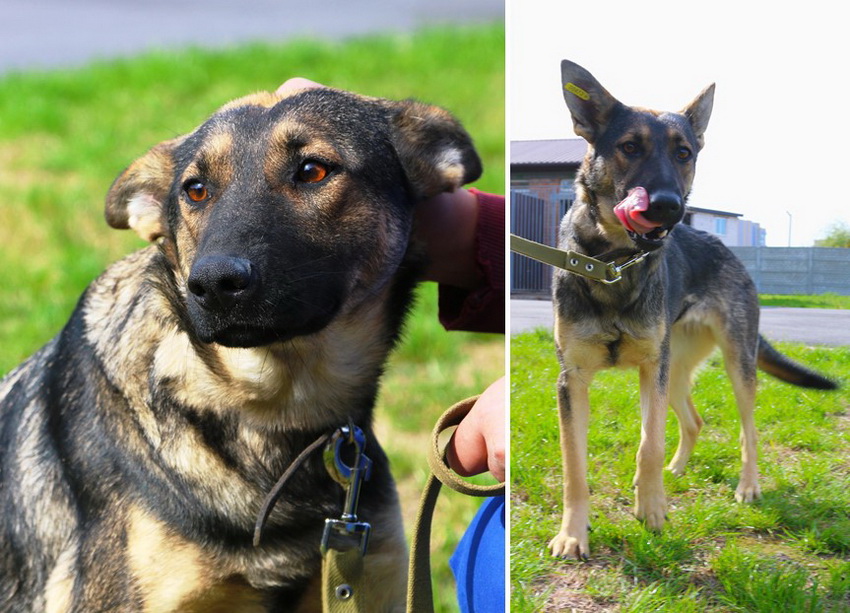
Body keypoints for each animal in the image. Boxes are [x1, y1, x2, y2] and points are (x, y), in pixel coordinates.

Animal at [548, 61, 832, 560]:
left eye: (683, 153)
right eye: (629, 147)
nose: (668, 208)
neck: (614, 266)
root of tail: (726, 249)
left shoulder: (650, 372)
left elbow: (649, 443)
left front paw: (652, 509)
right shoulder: (574, 381)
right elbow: (575, 468)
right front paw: (573, 534)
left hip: (731, 365)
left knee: (748, 431)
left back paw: (747, 487)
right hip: (676, 369)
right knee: (695, 420)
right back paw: (678, 471)